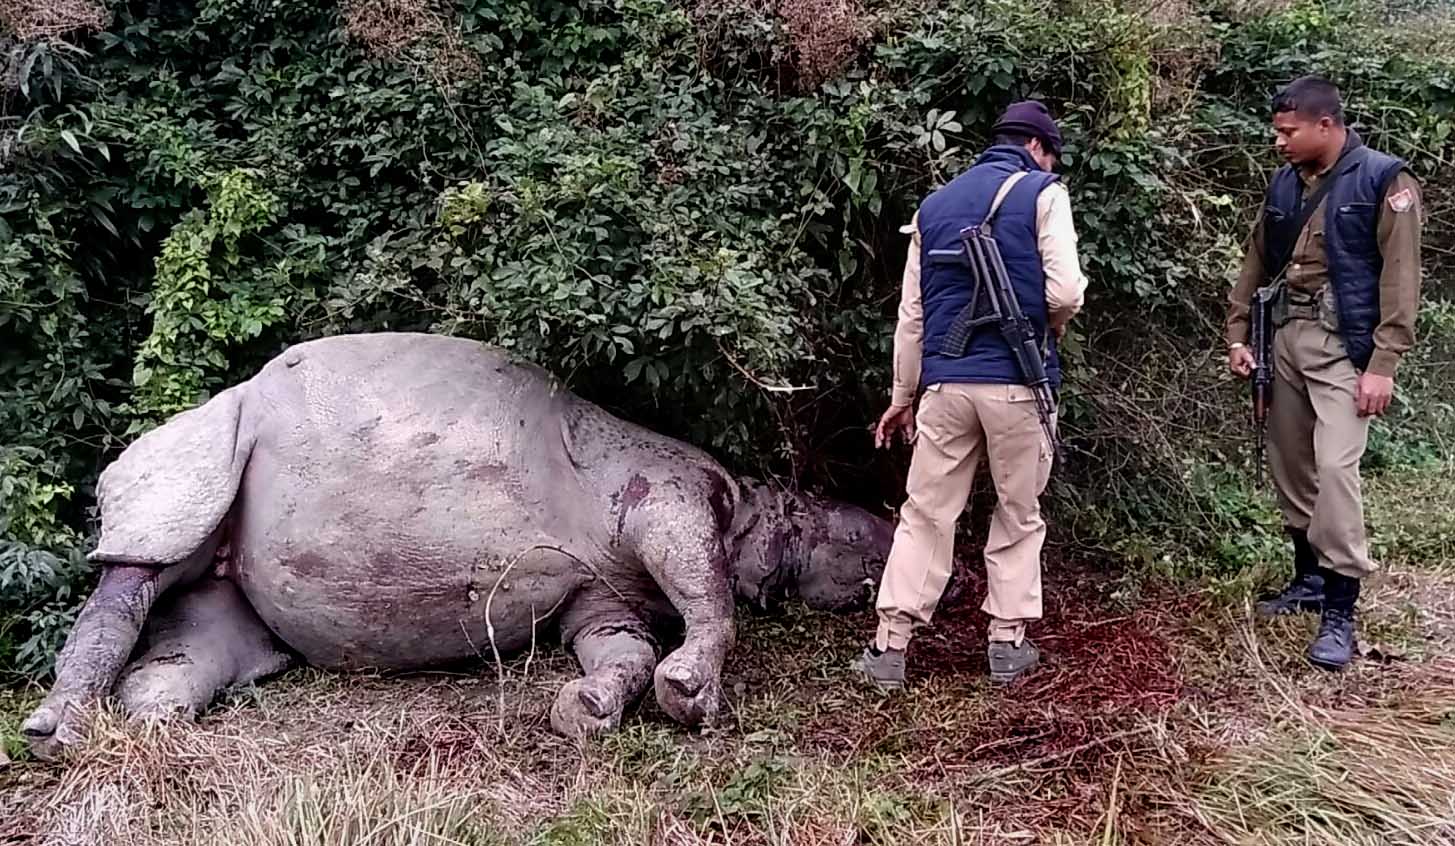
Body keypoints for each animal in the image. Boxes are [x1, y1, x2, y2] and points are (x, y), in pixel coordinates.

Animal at [22, 332, 911, 759]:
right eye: (857, 538)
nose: (889, 533)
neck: (759, 508)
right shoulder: (673, 495)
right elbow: (704, 587)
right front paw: (690, 694)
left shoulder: (602, 593)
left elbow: (618, 647)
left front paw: (588, 710)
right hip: (199, 444)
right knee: (150, 547)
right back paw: (53, 734)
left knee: (215, 635)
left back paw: (151, 718)